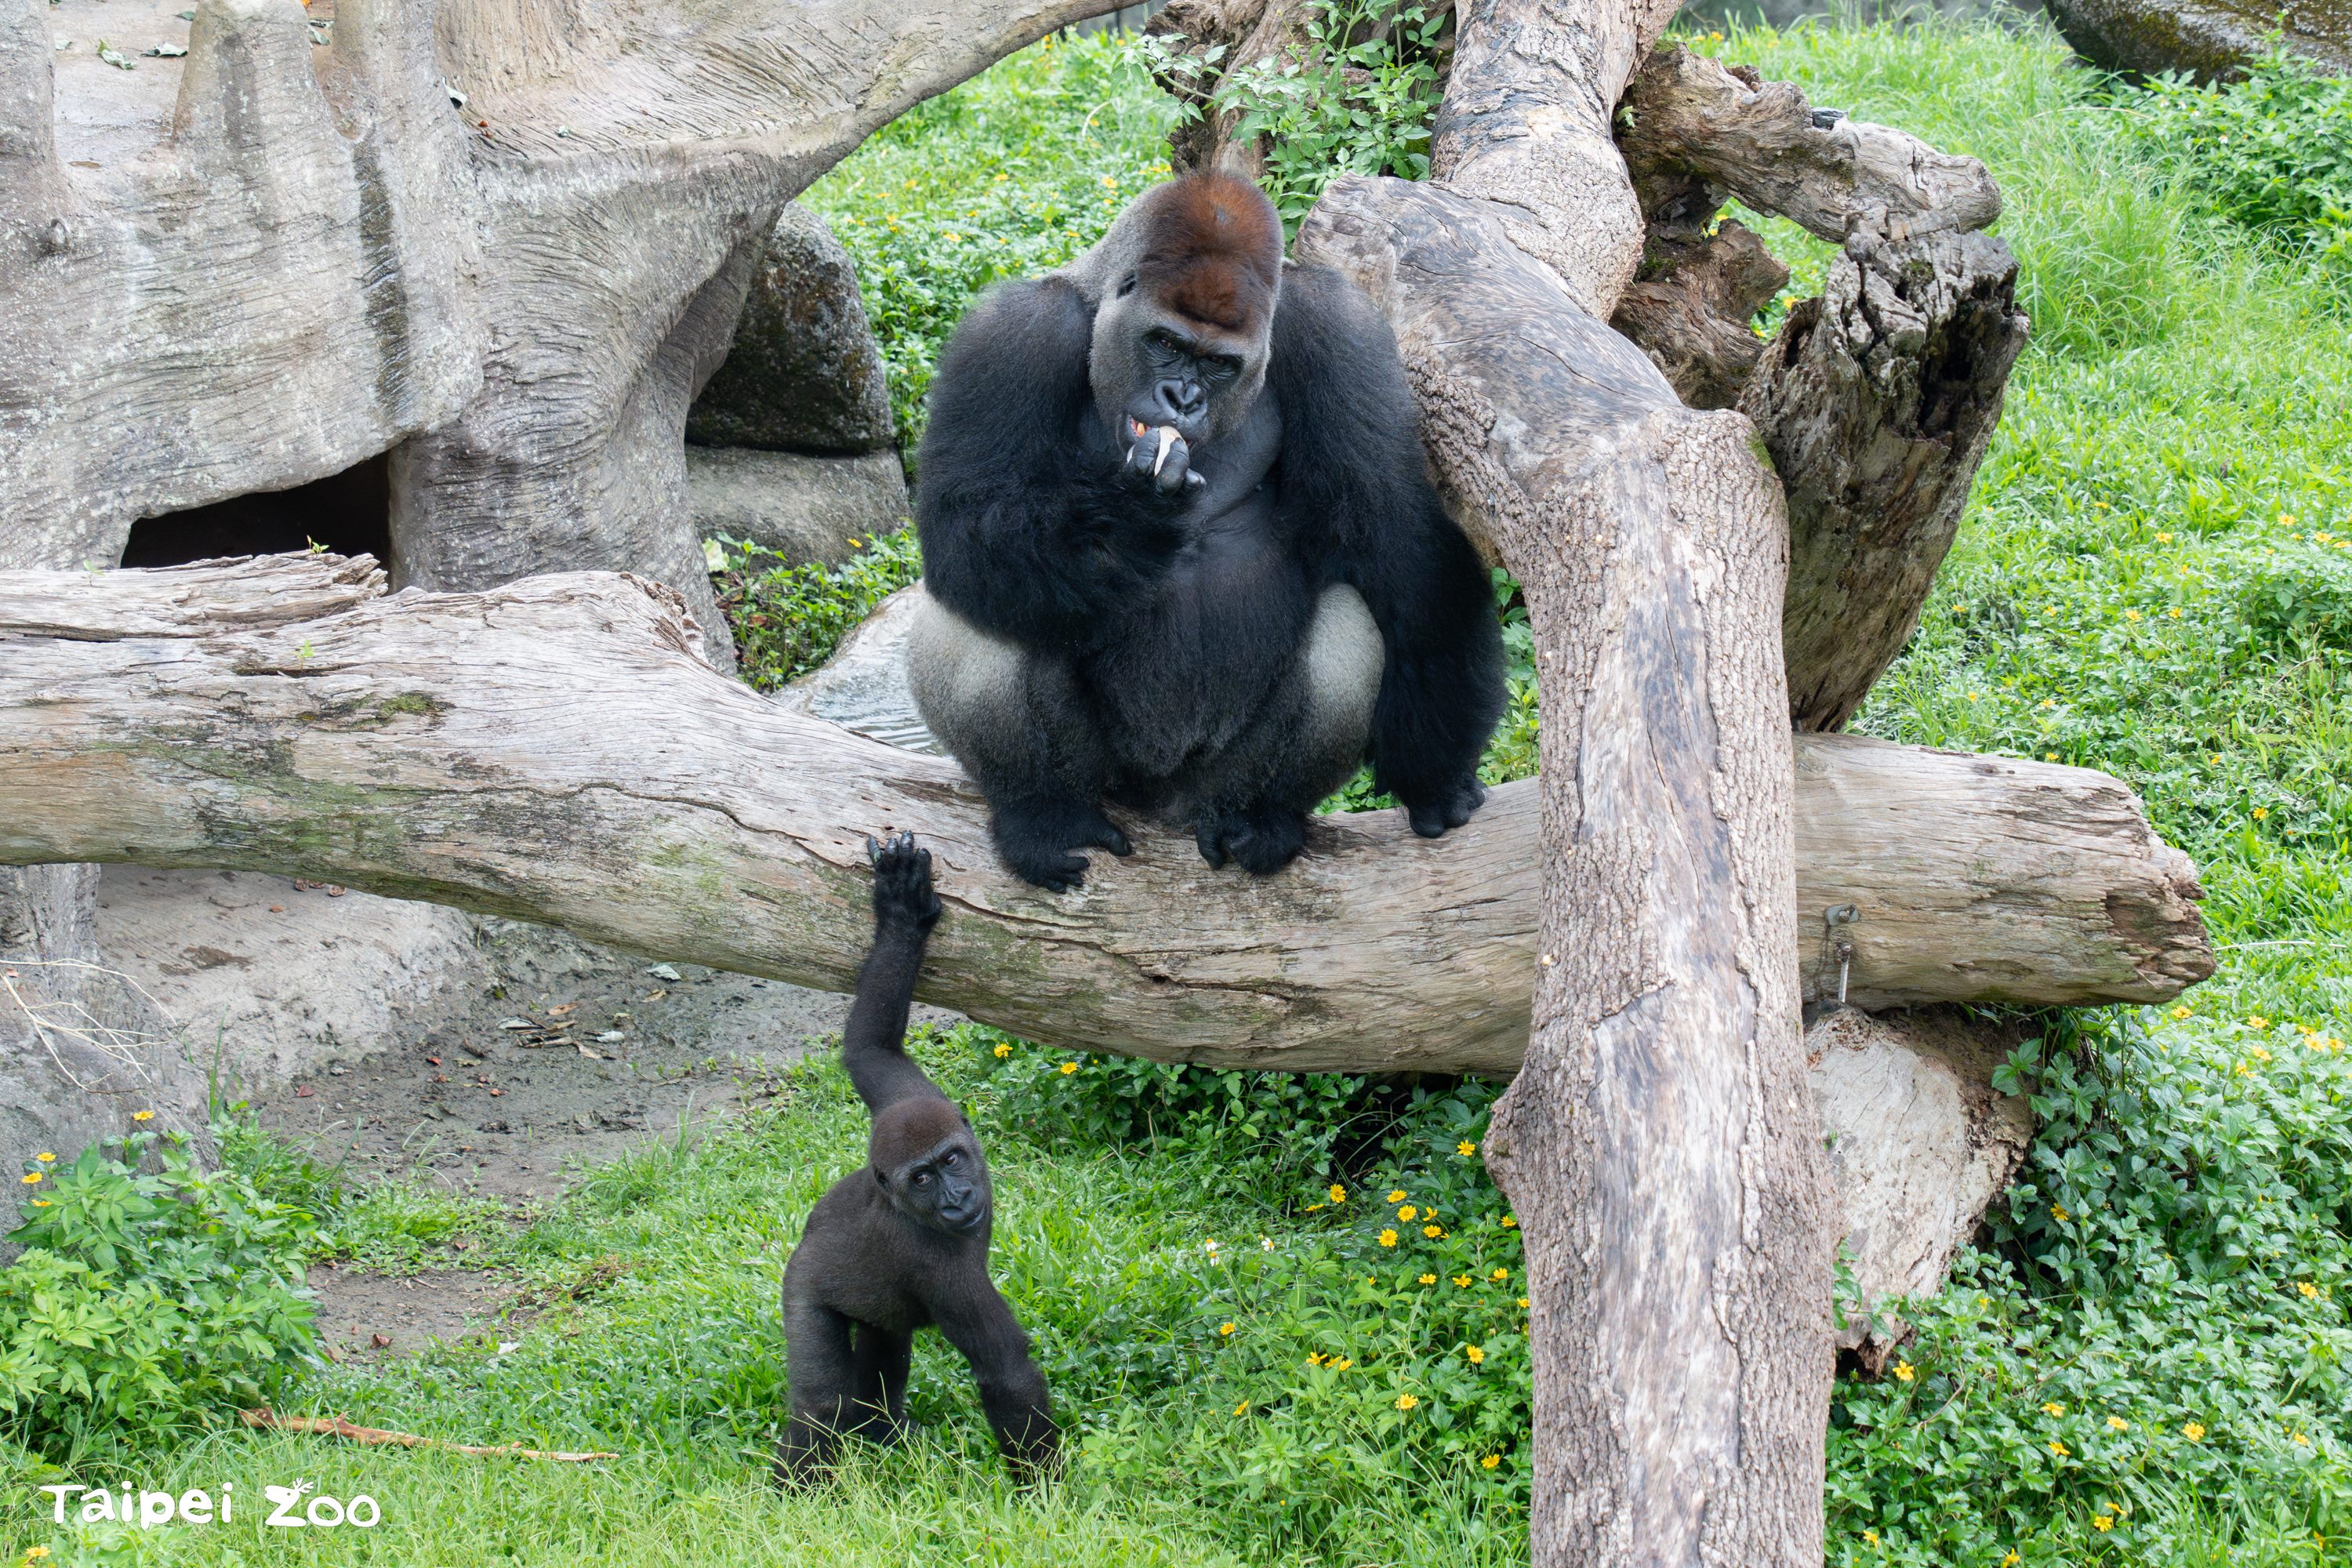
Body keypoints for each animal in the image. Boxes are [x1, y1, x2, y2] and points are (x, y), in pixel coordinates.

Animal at [776, 827, 1063, 1495]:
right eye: (924, 1179)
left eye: (953, 1160)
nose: (958, 1199)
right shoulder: (940, 1269)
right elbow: (1007, 1373)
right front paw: (1050, 1496)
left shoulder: (909, 1097)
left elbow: (869, 1044)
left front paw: (901, 916)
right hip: (799, 1290)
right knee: (819, 1403)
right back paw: (795, 1492)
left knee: (883, 1352)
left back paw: (884, 1434)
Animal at [908, 171, 1496, 888]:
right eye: (1164, 344)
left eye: (1219, 364)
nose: (1181, 400)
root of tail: (1163, 807)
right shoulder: (1013, 333)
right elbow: (965, 524)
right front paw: (1130, 525)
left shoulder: (1342, 327)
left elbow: (1396, 534)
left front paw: (1436, 775)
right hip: (1110, 783)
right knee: (986, 602)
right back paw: (1043, 815)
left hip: (1207, 788)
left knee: (1347, 621)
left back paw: (1260, 817)